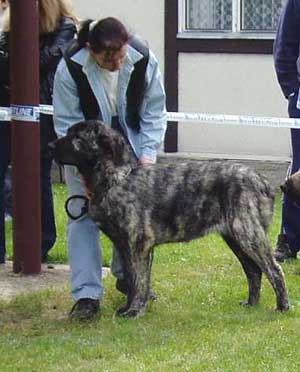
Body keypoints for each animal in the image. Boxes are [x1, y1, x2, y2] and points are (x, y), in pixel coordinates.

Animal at [51, 120, 288, 318]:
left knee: (274, 269)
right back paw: (252, 304)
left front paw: (134, 311)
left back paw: (282, 306)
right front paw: (128, 307)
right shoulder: (124, 245)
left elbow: (139, 280)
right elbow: (132, 279)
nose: (49, 145)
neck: (117, 179)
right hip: (235, 237)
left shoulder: (138, 245)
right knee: (254, 270)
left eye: (76, 137)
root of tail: (262, 181)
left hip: (248, 233)